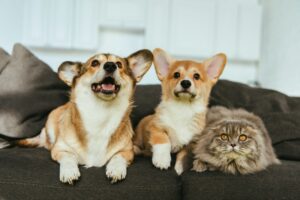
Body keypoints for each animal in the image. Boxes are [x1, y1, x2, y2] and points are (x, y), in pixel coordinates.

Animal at [17, 49, 152, 184]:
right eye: (95, 63)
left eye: (119, 64)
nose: (110, 65)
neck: (101, 112)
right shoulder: (60, 149)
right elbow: (68, 157)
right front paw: (69, 171)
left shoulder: (126, 152)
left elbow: (118, 157)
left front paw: (116, 169)